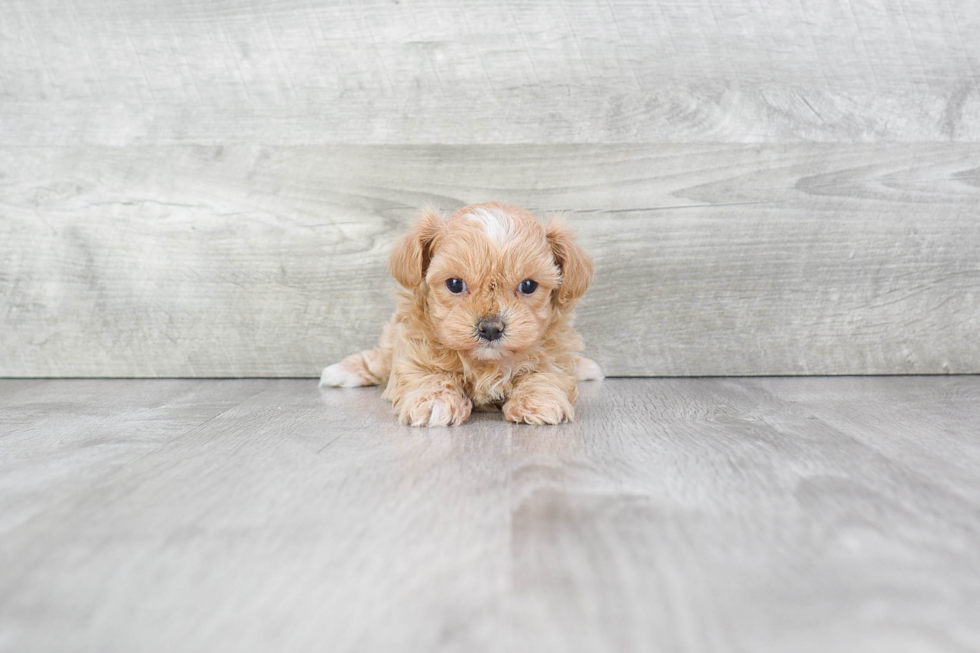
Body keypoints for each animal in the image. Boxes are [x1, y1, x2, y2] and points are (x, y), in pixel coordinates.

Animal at [318, 204, 600, 428]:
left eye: (528, 286)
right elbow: (425, 373)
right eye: (455, 284)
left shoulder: (554, 352)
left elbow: (545, 375)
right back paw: (342, 371)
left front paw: (538, 402)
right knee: (379, 360)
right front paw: (434, 402)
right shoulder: (414, 348)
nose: (490, 328)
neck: (486, 363)